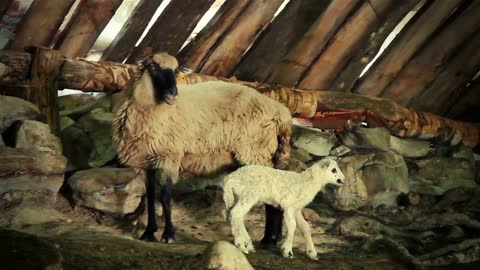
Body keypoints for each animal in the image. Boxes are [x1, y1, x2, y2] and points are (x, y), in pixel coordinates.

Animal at [112, 52, 292, 245]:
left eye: (176, 71)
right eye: (152, 67)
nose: (173, 94)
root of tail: (282, 113)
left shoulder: (170, 156)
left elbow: (165, 196)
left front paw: (168, 234)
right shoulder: (148, 161)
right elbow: (150, 196)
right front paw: (149, 233)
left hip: (256, 153)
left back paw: (270, 240)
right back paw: (270, 240)